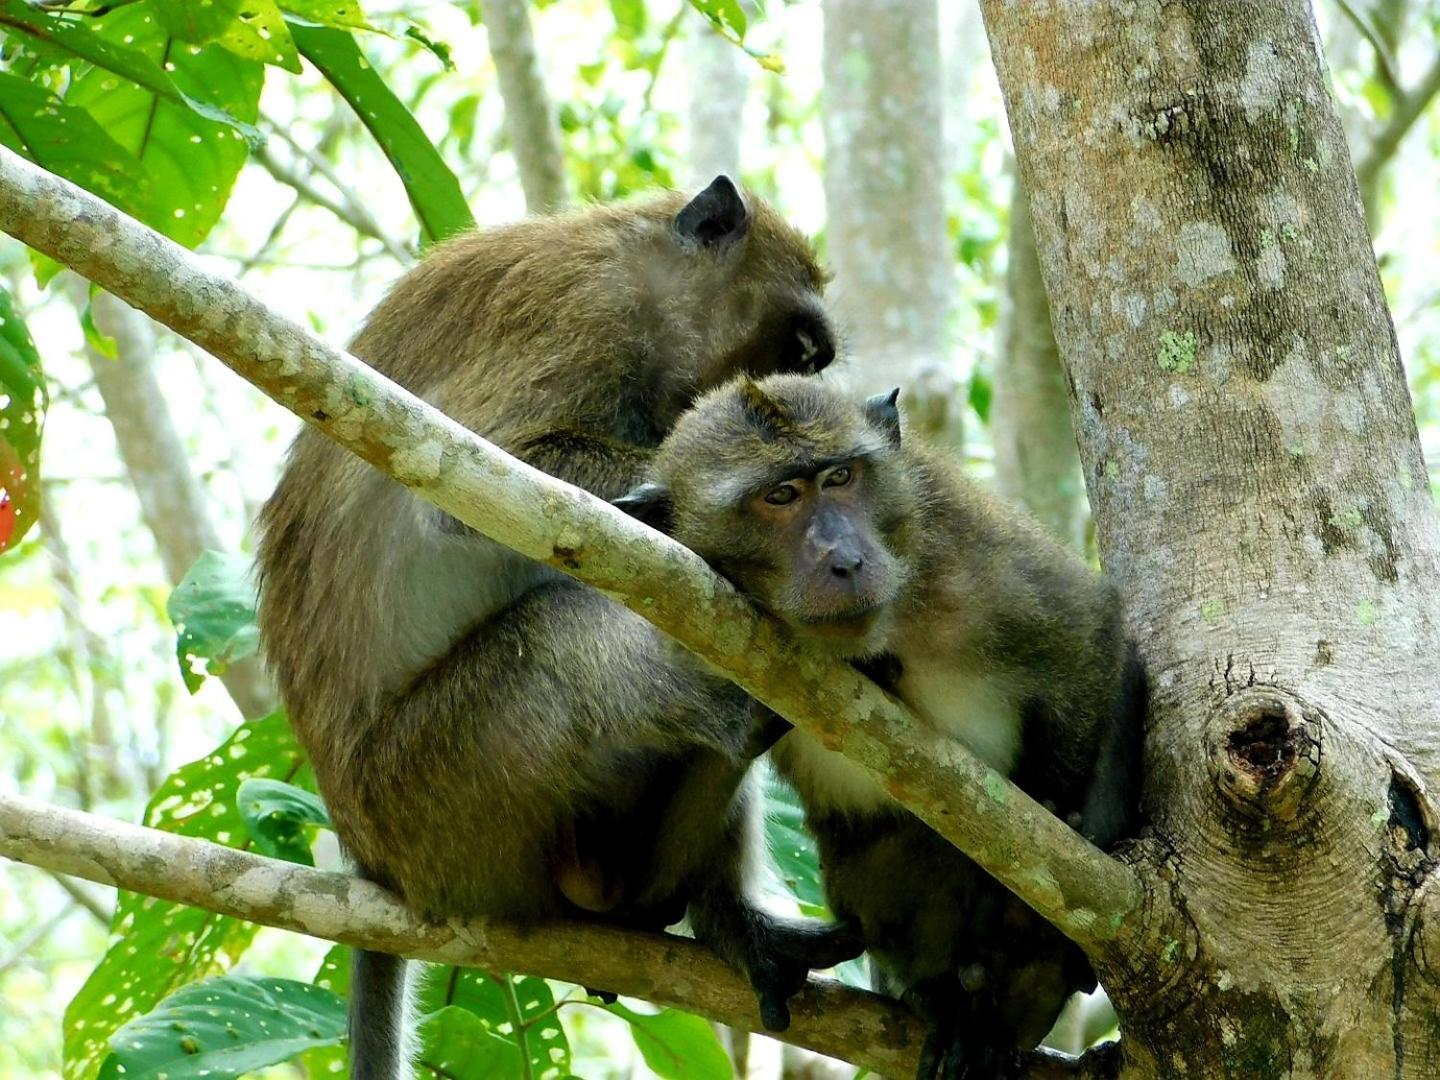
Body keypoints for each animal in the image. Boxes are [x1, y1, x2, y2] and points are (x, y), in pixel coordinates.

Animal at [256, 182, 864, 1077]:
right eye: (798, 349)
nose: (778, 415)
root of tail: (376, 863)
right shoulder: (579, 318)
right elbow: (488, 474)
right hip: (439, 792)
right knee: (564, 632)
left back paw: (717, 915)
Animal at [619, 374, 1146, 1080]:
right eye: (779, 496)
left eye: (840, 476)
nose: (844, 559)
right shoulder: (696, 630)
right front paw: (741, 936)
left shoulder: (975, 554)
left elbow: (1096, 640)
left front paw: (1039, 891)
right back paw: (949, 999)